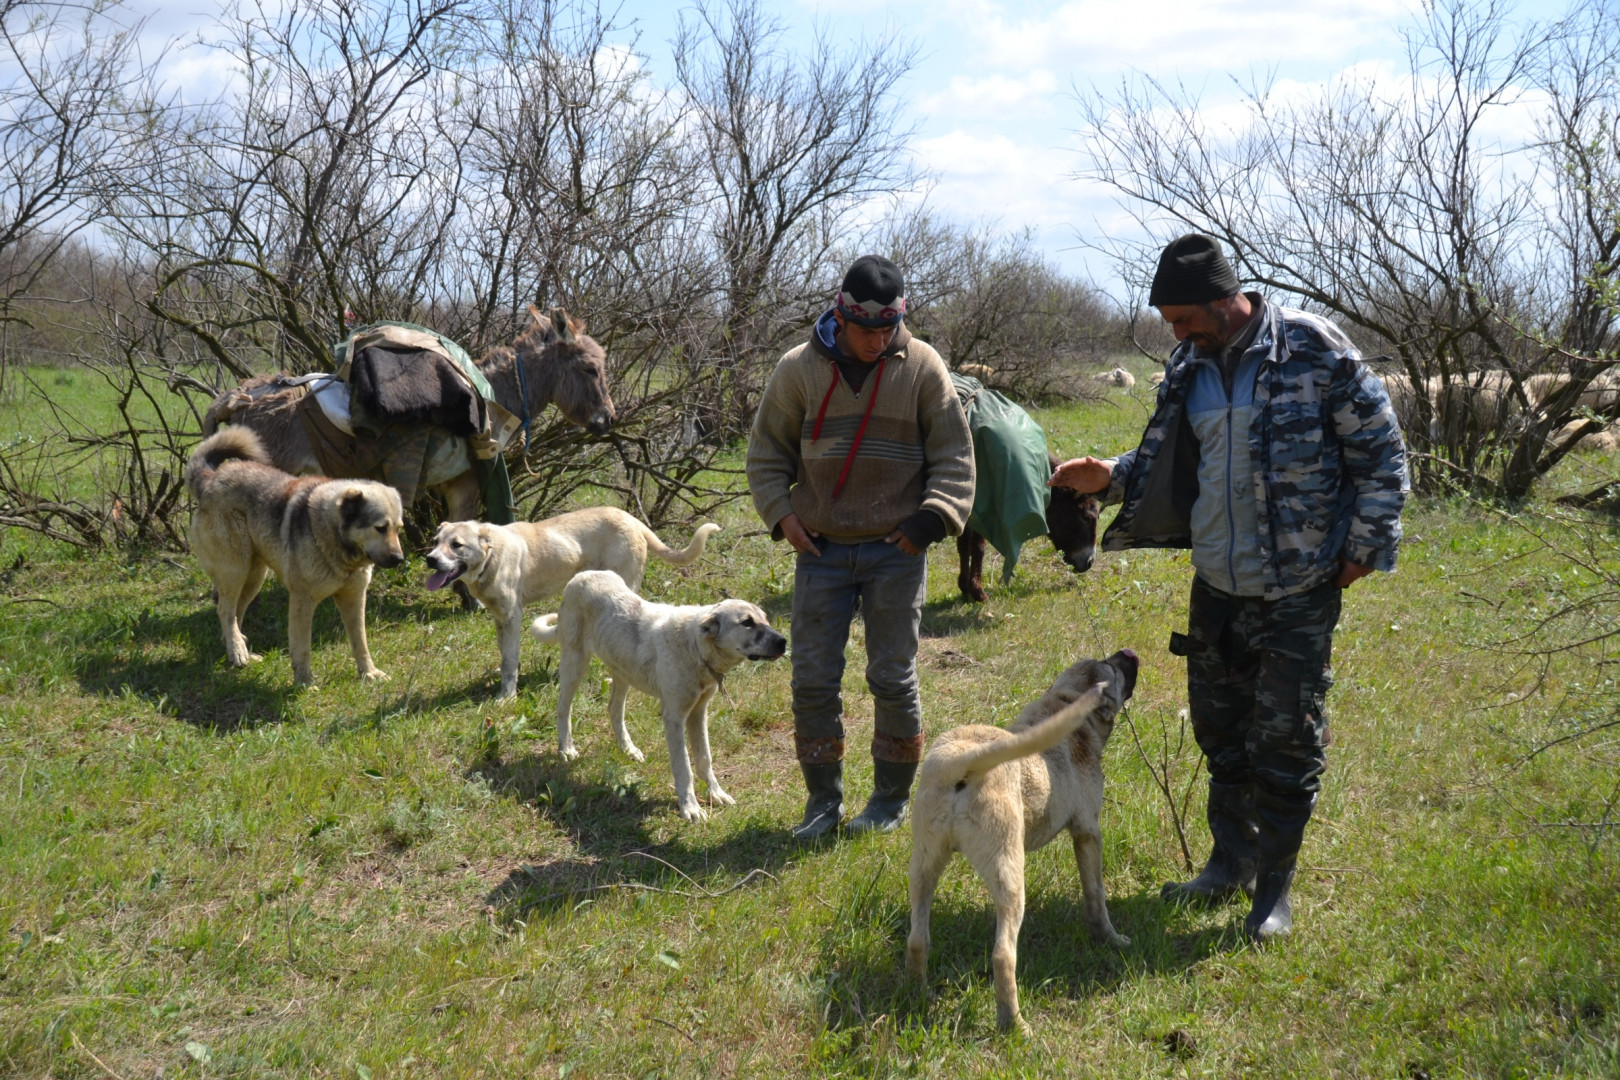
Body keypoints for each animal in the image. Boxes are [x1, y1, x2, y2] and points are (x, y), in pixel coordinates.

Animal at [185, 427, 405, 683]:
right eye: (380, 528)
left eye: (398, 529)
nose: (399, 560)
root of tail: (211, 479)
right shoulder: (303, 600)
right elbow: (302, 647)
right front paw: (305, 683)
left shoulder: (354, 598)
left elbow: (360, 642)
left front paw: (369, 674)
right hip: (235, 569)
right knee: (225, 610)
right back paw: (238, 652)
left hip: (254, 576)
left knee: (234, 613)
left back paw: (241, 652)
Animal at [427, 508, 719, 702]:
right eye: (435, 542)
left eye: (457, 545)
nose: (429, 559)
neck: (491, 556)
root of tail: (631, 518)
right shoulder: (500, 618)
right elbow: (504, 658)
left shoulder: (512, 616)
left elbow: (510, 661)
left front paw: (506, 698)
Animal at [528, 573, 787, 819]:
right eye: (747, 623)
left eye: (765, 619)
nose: (783, 642)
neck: (695, 648)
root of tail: (580, 576)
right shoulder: (674, 717)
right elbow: (684, 767)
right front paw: (690, 808)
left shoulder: (698, 713)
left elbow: (704, 759)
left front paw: (716, 794)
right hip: (575, 662)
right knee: (564, 707)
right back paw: (566, 749)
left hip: (623, 670)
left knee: (614, 709)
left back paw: (628, 749)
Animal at [907, 647, 1134, 1036]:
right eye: (1115, 669)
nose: (1128, 653)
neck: (1064, 705)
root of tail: (963, 762)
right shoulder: (1088, 832)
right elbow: (1096, 894)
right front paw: (1110, 938)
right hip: (1010, 877)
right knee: (1002, 955)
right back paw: (1014, 1026)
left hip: (924, 868)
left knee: (917, 939)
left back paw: (921, 996)